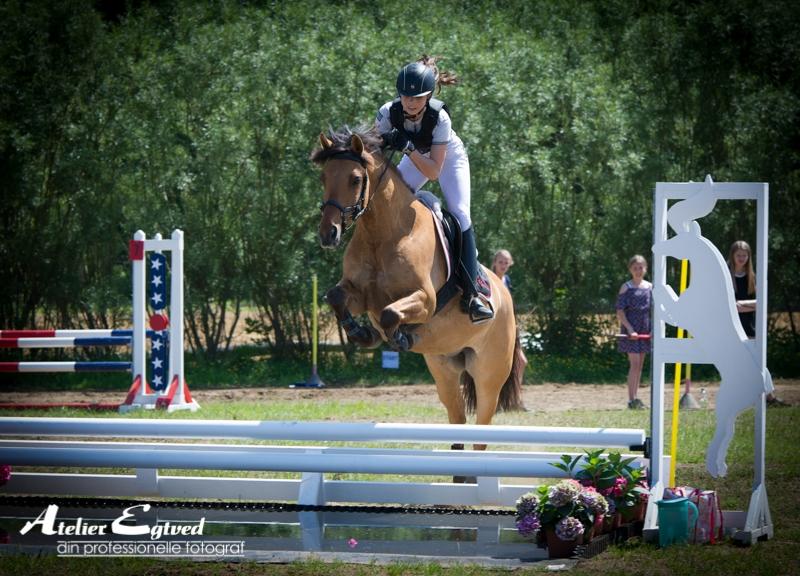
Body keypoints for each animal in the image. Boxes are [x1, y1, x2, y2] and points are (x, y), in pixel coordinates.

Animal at [310, 125, 525, 452]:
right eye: (323, 177)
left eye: (355, 179)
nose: (328, 234)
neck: (383, 233)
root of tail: (505, 294)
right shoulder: (361, 296)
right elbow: (337, 297)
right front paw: (362, 333)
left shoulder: (425, 300)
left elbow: (390, 313)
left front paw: (398, 337)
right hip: (444, 367)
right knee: (457, 420)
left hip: (488, 372)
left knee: (481, 431)